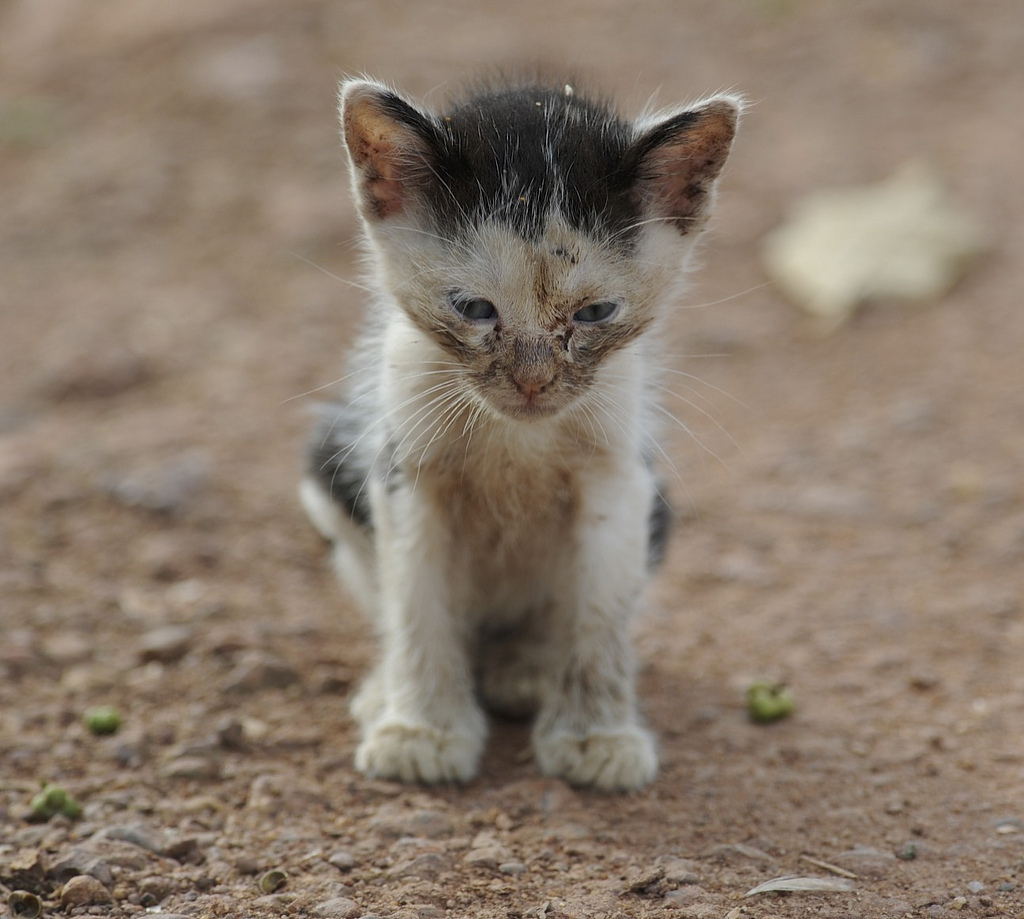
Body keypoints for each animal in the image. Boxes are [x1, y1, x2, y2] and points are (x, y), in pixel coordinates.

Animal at [299, 76, 741, 786]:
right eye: (474, 308)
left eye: (595, 313)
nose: (533, 382)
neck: (518, 434)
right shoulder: (404, 467)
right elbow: (416, 600)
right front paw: (421, 727)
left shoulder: (619, 474)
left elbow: (600, 610)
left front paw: (597, 736)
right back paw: (387, 689)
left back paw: (528, 668)